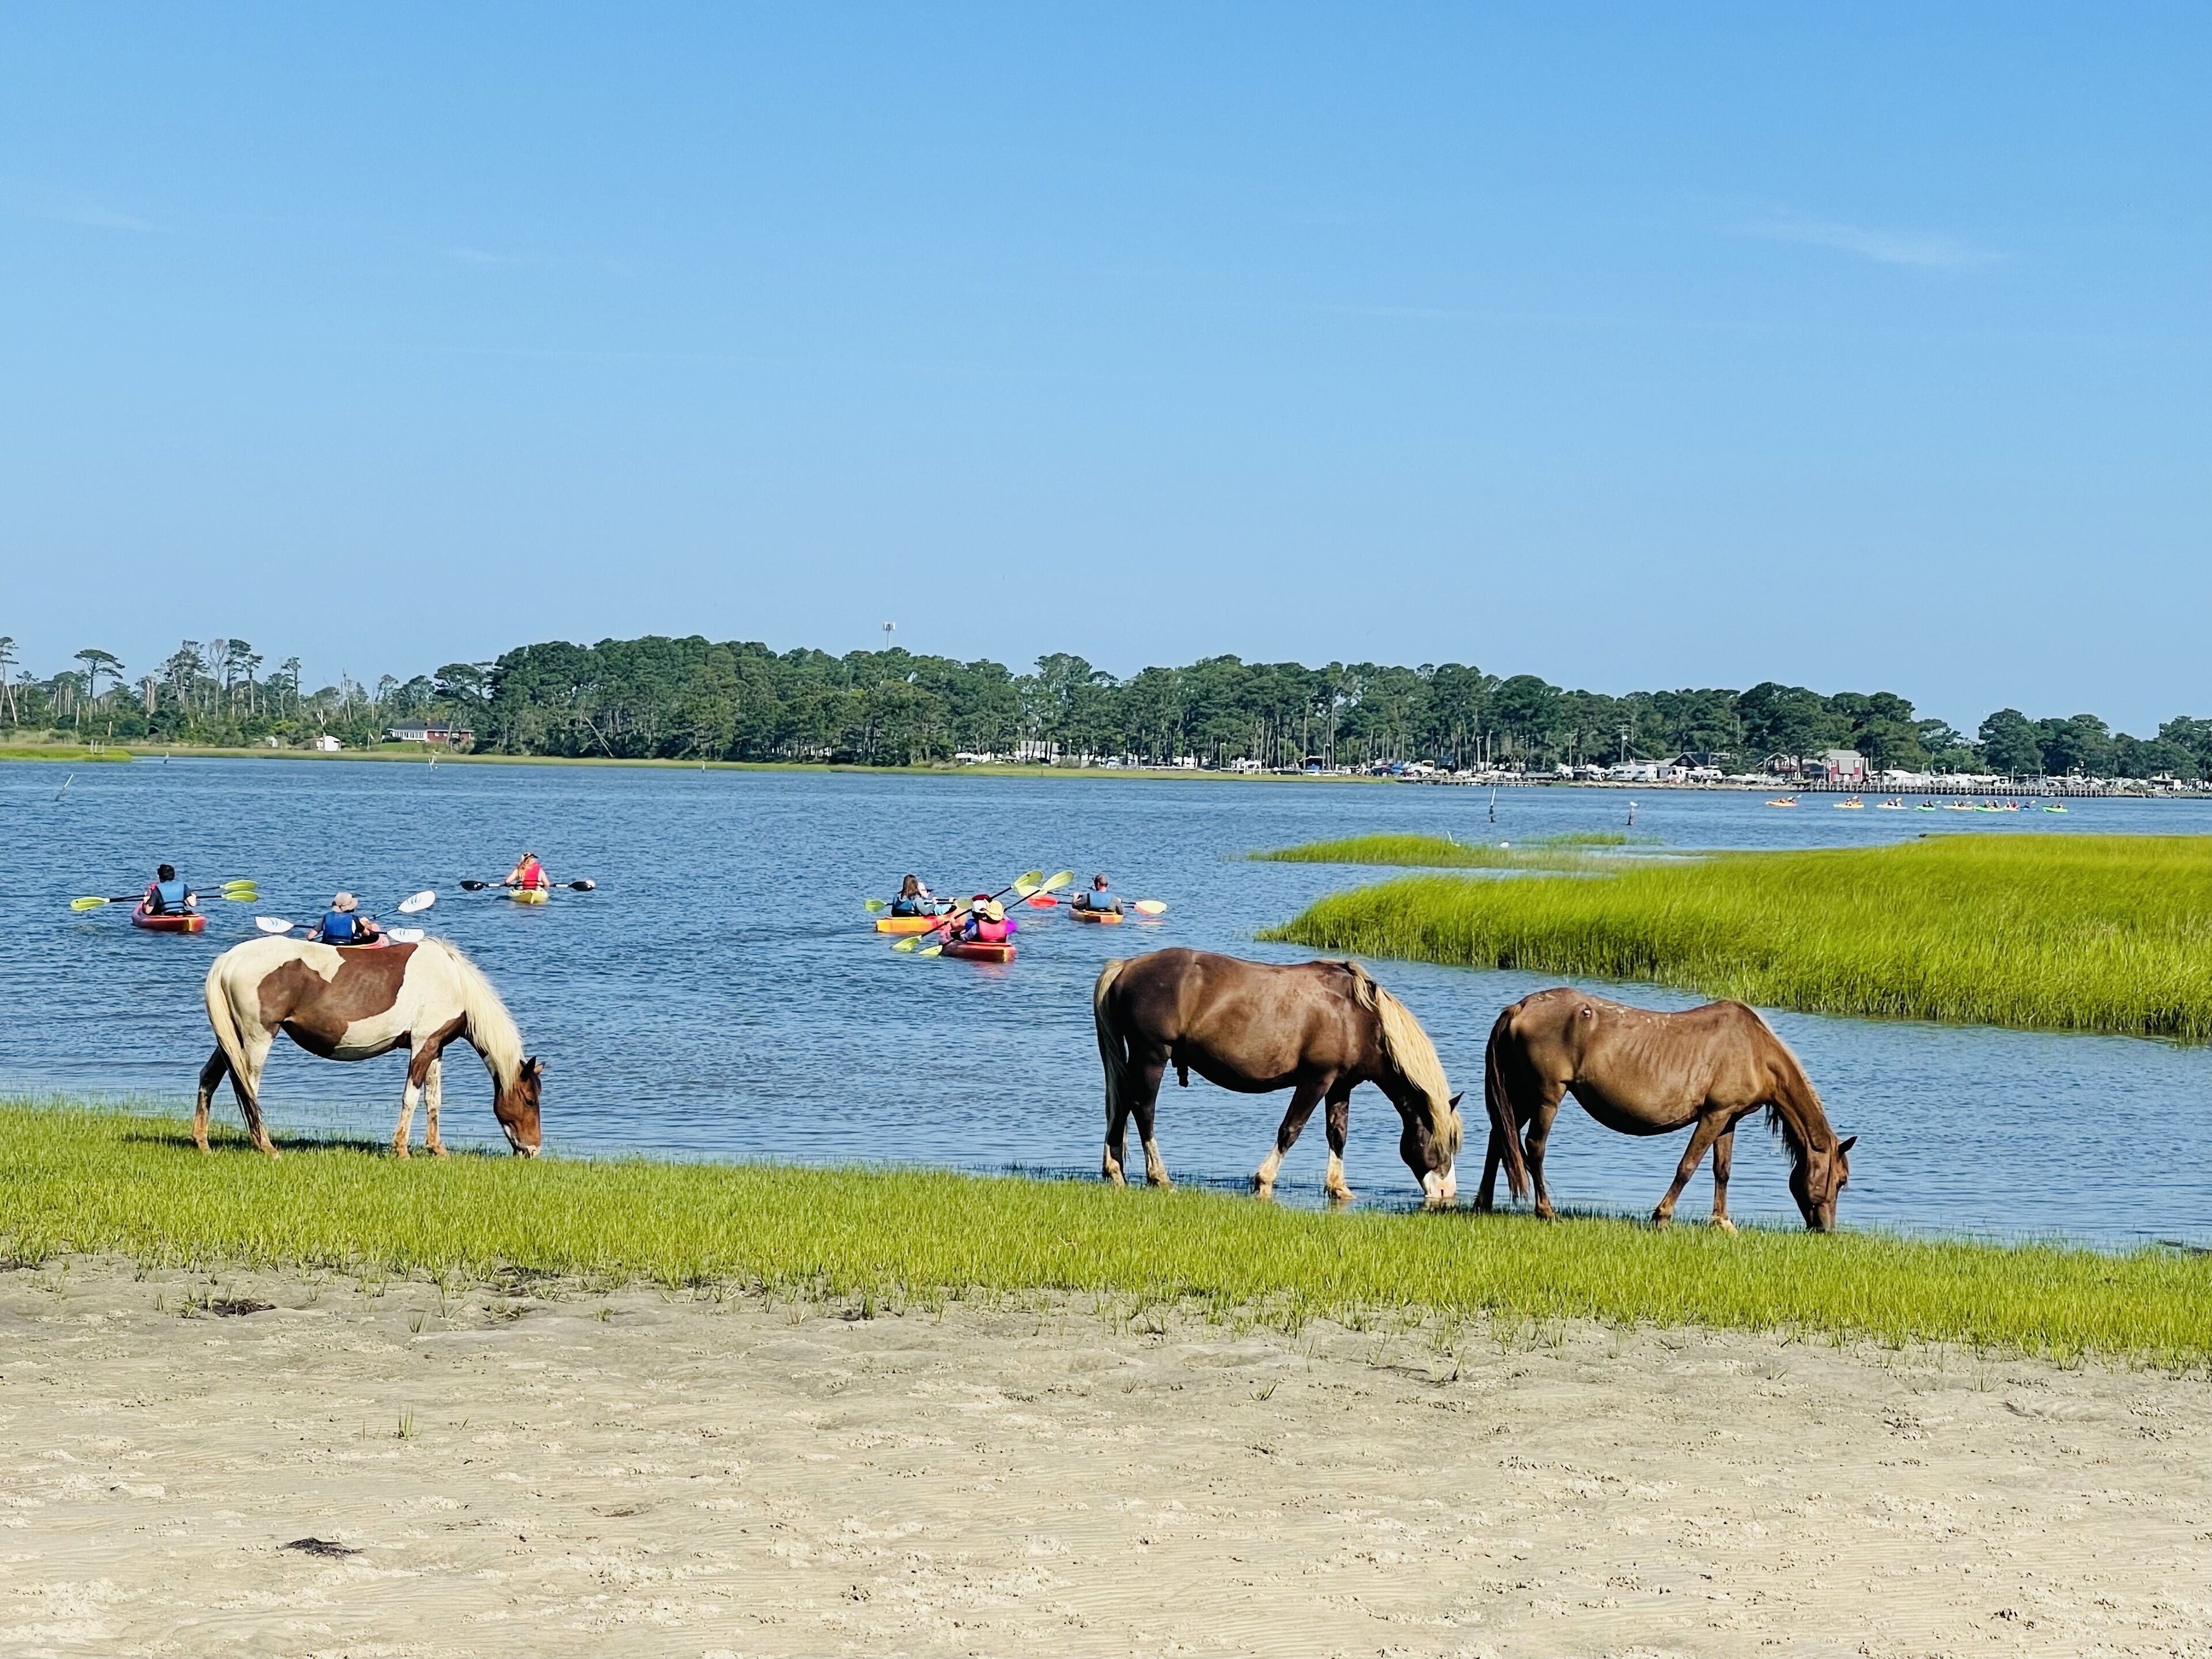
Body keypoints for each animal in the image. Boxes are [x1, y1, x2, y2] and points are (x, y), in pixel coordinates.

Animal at [196, 934, 544, 1158]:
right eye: (529, 1100)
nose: (533, 1150)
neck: (453, 982)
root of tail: (229, 960)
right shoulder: (422, 1045)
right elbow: (410, 1098)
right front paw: (401, 1150)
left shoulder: (436, 1047)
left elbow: (433, 1099)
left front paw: (438, 1150)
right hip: (256, 1038)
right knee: (249, 1089)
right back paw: (265, 1146)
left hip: (231, 1041)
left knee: (210, 1078)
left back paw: (203, 1142)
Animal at [1091, 948, 1463, 1205]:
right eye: (1442, 1143)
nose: (1446, 1192)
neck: (1358, 1016)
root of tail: (1127, 966)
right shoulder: (1316, 1080)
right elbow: (1290, 1130)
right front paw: (1264, 1181)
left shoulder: (1340, 1086)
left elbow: (1338, 1135)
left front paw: (1339, 1187)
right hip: (1152, 1057)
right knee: (1143, 1110)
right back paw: (1159, 1175)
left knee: (1121, 1105)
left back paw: (1115, 1170)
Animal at [1478, 988, 1853, 1231]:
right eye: (1842, 1180)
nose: (1826, 1229)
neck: (1755, 1051)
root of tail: (1521, 1007)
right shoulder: (1713, 1115)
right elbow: (1687, 1167)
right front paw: (1662, 1216)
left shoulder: (1729, 1118)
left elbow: (1722, 1171)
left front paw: (1722, 1222)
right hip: (1545, 1097)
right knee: (1533, 1147)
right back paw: (1546, 1211)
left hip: (1522, 1095)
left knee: (1500, 1137)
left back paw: (1483, 1203)